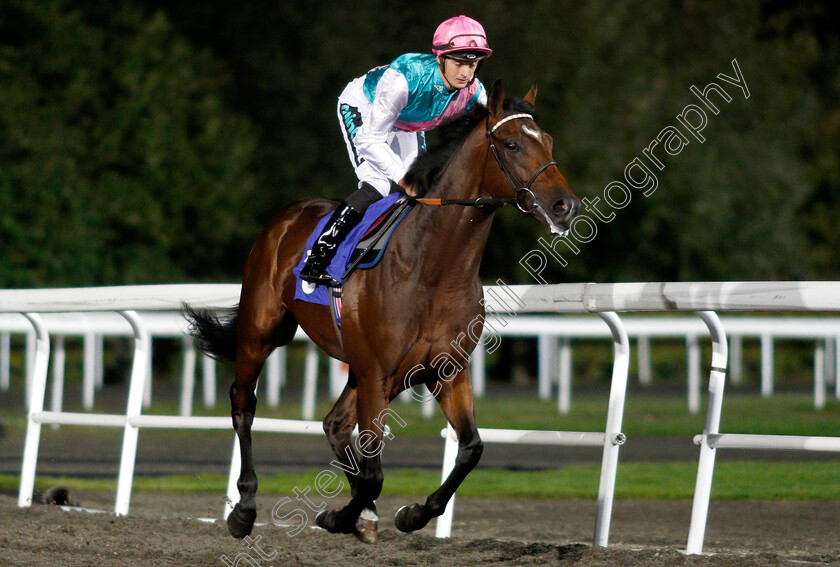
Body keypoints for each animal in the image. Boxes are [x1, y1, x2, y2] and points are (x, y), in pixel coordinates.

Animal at [185, 82, 576, 544]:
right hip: (262, 332)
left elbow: (470, 449)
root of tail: (287, 216)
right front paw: (339, 517)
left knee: (335, 424)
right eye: (512, 144)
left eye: (547, 141)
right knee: (244, 404)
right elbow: (375, 473)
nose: (565, 205)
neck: (433, 268)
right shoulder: (378, 372)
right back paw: (244, 509)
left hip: (362, 368)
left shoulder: (446, 371)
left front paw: (408, 514)